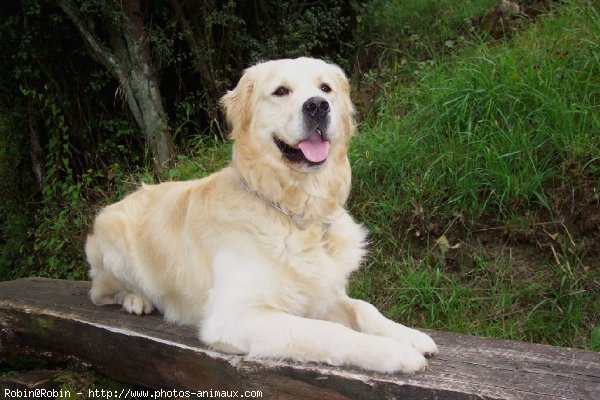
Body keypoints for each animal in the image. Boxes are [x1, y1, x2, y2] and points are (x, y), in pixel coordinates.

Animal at [84, 56, 438, 372]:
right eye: (280, 91)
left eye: (325, 87)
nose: (317, 106)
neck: (296, 213)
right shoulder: (235, 316)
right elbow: (331, 331)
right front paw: (394, 352)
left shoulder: (320, 292)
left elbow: (364, 308)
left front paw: (409, 336)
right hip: (112, 244)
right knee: (100, 293)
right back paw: (136, 300)